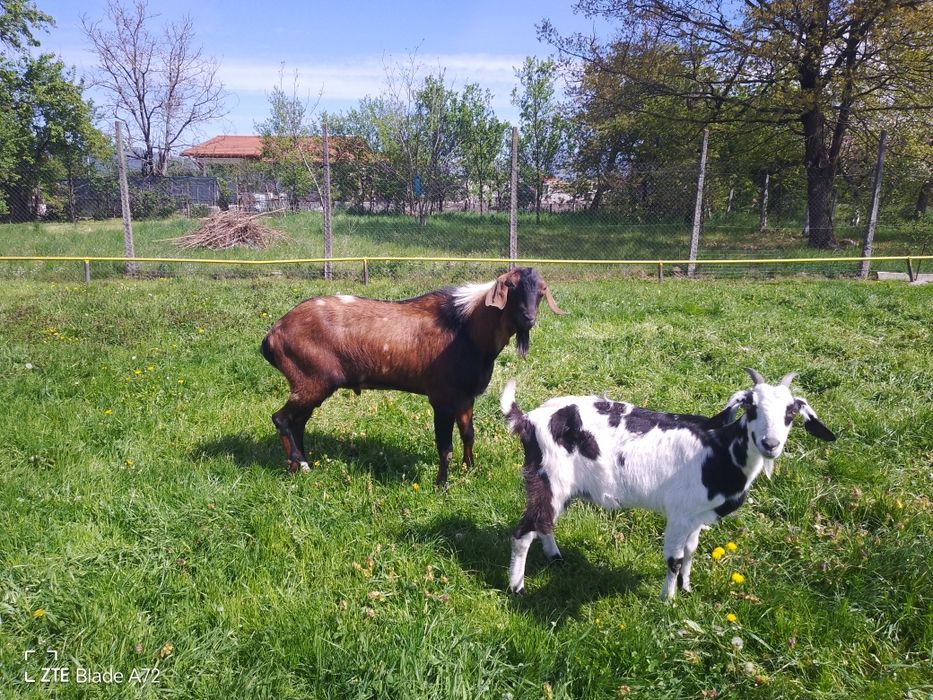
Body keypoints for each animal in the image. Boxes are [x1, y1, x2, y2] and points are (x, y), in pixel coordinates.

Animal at [261, 267, 564, 486]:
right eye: (511, 287)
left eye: (540, 291)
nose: (528, 318)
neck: (466, 329)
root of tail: (273, 335)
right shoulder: (442, 398)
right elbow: (445, 446)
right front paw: (442, 484)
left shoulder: (466, 397)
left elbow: (468, 435)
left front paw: (469, 470)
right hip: (311, 381)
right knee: (281, 418)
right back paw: (300, 464)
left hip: (311, 385)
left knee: (298, 422)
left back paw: (300, 463)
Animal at [499, 368, 836, 600]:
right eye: (751, 407)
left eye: (791, 413)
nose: (770, 444)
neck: (721, 450)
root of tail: (528, 419)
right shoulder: (679, 513)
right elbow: (674, 558)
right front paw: (667, 600)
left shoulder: (697, 516)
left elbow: (691, 550)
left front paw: (686, 588)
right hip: (548, 479)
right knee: (523, 532)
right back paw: (517, 587)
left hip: (558, 488)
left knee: (544, 523)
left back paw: (555, 557)